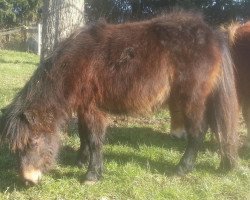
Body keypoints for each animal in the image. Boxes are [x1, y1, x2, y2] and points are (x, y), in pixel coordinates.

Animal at [0, 10, 238, 184]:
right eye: (16, 148)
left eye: (34, 142)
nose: (29, 180)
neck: (75, 65)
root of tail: (212, 34)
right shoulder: (83, 107)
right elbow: (83, 135)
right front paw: (81, 161)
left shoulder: (92, 108)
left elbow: (94, 139)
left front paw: (92, 174)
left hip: (191, 99)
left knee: (198, 132)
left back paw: (182, 168)